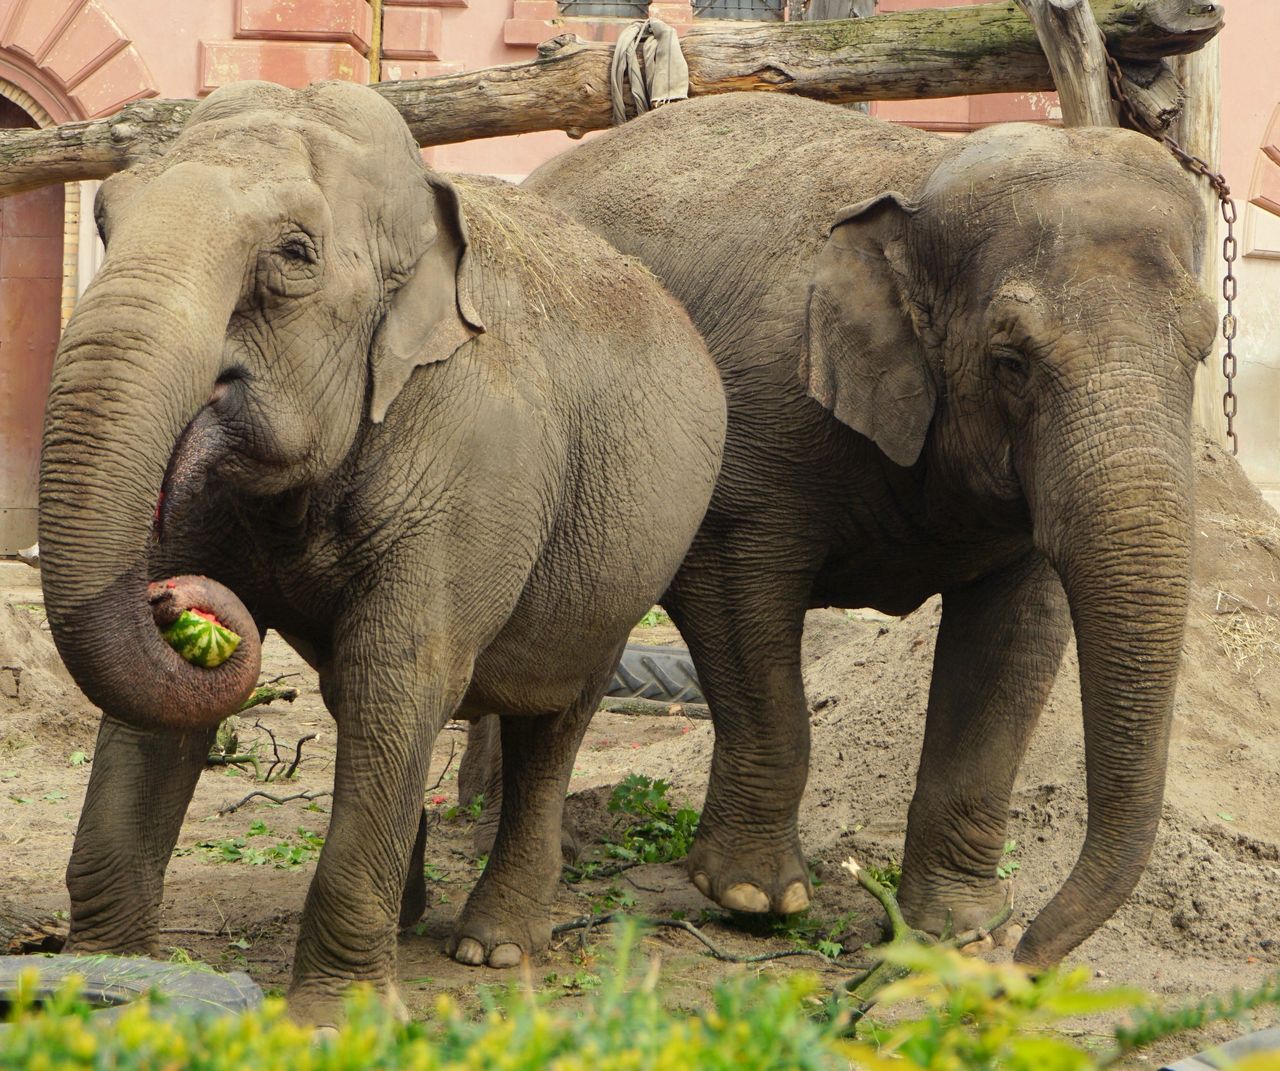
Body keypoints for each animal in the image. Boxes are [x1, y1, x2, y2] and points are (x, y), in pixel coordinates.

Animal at [35, 79, 727, 1023]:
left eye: (295, 252)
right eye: (105, 217)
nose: (171, 594)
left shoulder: (472, 460)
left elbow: (400, 669)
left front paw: (335, 1021)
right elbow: (168, 712)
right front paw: (105, 982)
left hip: (626, 566)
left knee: (551, 720)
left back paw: (493, 944)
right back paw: (408, 919)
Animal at [506, 94, 1208, 967]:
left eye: (1204, 347)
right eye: (1011, 360)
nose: (1025, 954)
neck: (917, 178)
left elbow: (1014, 641)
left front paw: (955, 933)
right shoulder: (758, 407)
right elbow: (731, 589)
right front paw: (755, 897)